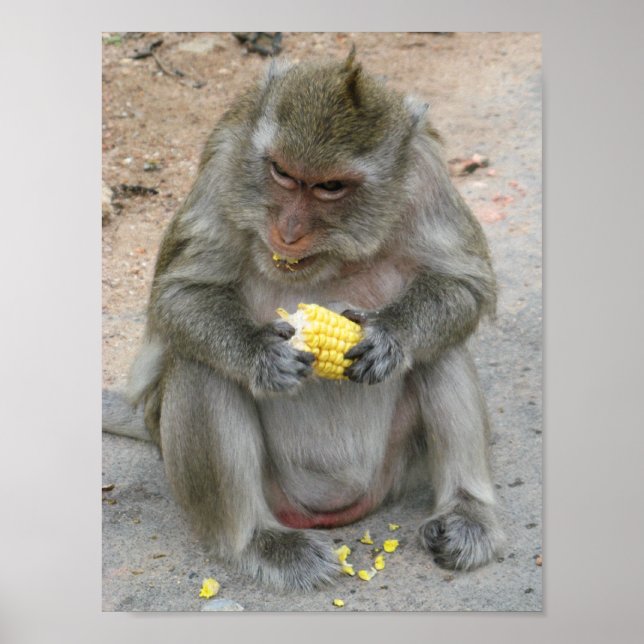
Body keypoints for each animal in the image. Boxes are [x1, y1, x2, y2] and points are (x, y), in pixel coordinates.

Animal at [102, 50, 504, 591]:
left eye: (330, 187)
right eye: (283, 174)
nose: (289, 232)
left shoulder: (427, 174)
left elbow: (464, 282)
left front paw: (390, 337)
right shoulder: (224, 160)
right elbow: (180, 294)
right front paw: (260, 354)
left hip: (396, 468)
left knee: (441, 352)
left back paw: (467, 514)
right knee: (198, 365)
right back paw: (257, 541)